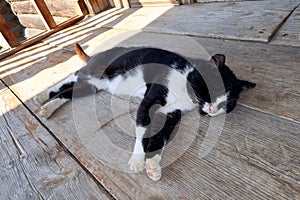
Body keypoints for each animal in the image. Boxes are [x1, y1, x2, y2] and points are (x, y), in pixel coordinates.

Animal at [35, 43, 255, 181]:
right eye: (214, 90)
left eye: (227, 104)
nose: (212, 109)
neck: (185, 83)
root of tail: (99, 54)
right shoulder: (150, 100)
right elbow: (143, 129)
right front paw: (137, 160)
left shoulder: (173, 114)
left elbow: (162, 137)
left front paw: (153, 165)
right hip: (93, 71)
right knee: (67, 79)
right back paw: (42, 96)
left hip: (94, 85)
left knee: (69, 92)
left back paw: (48, 106)